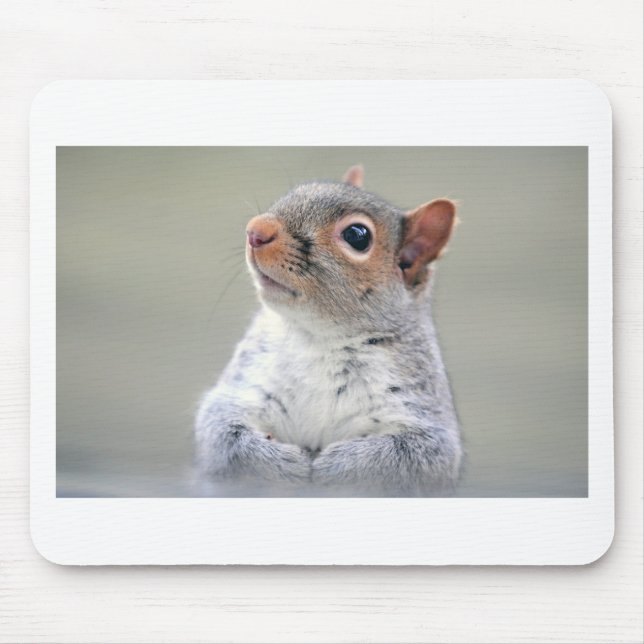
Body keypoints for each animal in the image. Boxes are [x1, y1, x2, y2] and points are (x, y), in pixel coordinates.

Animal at [194, 165, 462, 496]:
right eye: (295, 192)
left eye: (357, 235)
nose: (255, 230)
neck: (319, 338)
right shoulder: (245, 386)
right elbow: (221, 432)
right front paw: (280, 462)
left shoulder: (422, 413)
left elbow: (414, 457)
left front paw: (339, 466)